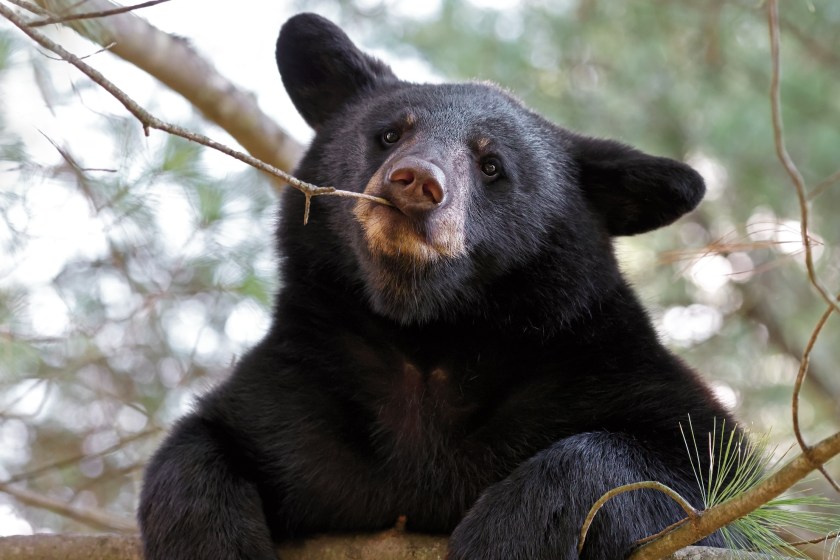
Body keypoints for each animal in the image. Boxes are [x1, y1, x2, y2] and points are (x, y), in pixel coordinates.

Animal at [137, 12, 738, 560]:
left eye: (492, 164)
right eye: (389, 133)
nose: (416, 182)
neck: (427, 336)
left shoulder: (592, 363)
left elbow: (697, 477)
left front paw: (506, 535)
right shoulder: (299, 387)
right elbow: (202, 441)